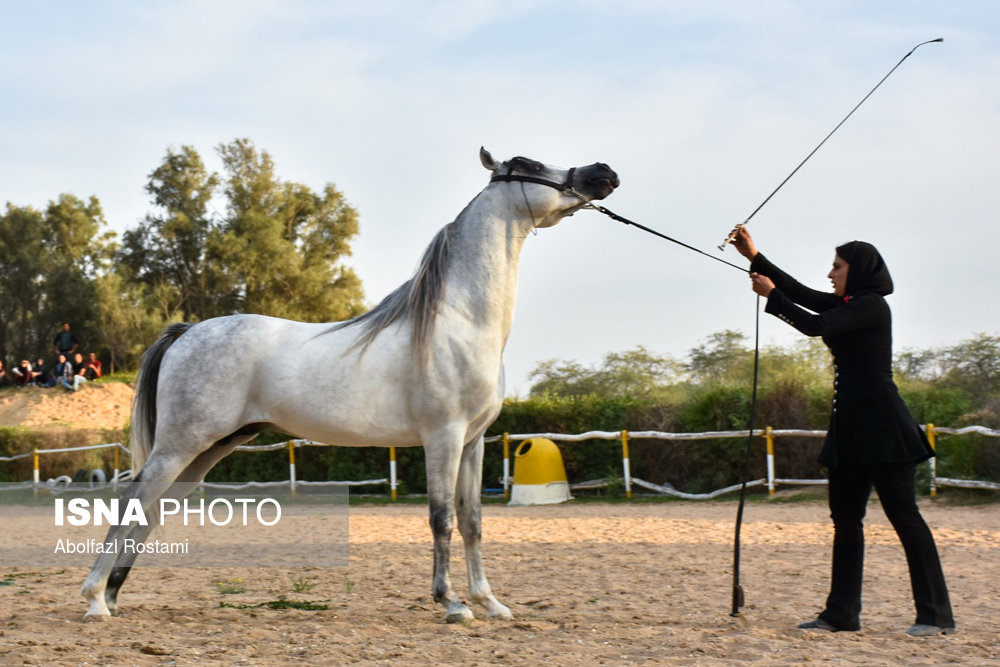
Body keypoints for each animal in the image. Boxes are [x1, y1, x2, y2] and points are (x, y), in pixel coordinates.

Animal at [80, 148, 619, 623]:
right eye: (529, 165)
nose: (603, 172)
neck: (459, 321)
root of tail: (188, 330)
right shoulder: (442, 437)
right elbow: (441, 518)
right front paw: (451, 604)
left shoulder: (474, 441)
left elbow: (472, 522)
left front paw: (491, 603)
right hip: (182, 443)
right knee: (131, 500)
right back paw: (94, 601)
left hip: (209, 448)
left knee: (151, 508)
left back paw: (113, 596)